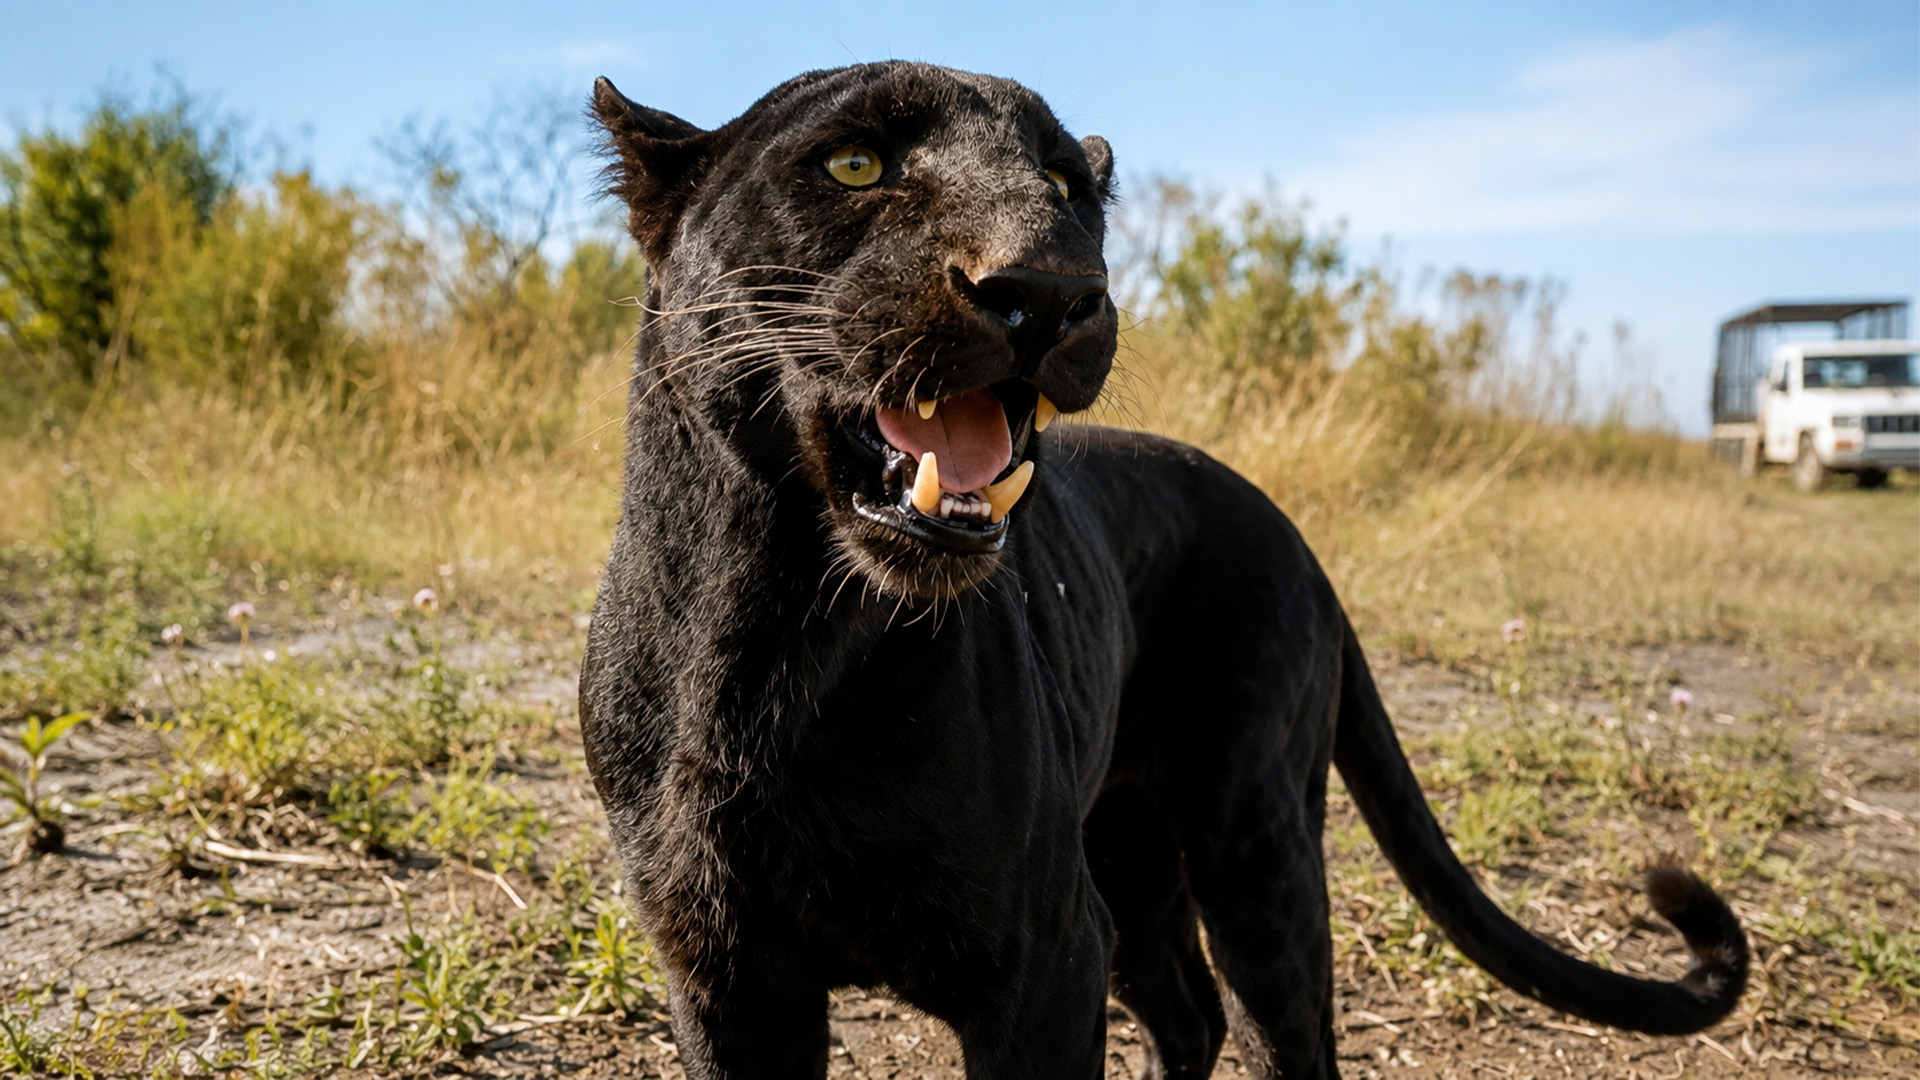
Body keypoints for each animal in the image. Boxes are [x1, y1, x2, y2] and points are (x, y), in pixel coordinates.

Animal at [577, 61, 1747, 1079]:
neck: (776, 632)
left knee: (1281, 1038)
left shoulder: (1043, 960)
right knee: (1188, 1014)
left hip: (1254, 850)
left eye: (1062, 185)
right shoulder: (727, 980)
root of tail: (1291, 532)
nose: (1050, 291)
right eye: (855, 163)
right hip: (1133, 857)